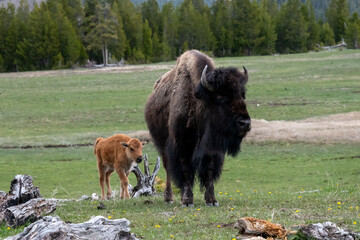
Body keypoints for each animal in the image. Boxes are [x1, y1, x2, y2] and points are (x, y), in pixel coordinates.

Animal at [143, 50, 250, 206]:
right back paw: (169, 198)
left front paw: (211, 200)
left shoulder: (212, 149)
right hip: (162, 145)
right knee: (168, 167)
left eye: (243, 95)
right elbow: (186, 170)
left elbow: (209, 170)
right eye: (220, 97)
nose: (245, 123)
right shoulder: (182, 144)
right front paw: (187, 201)